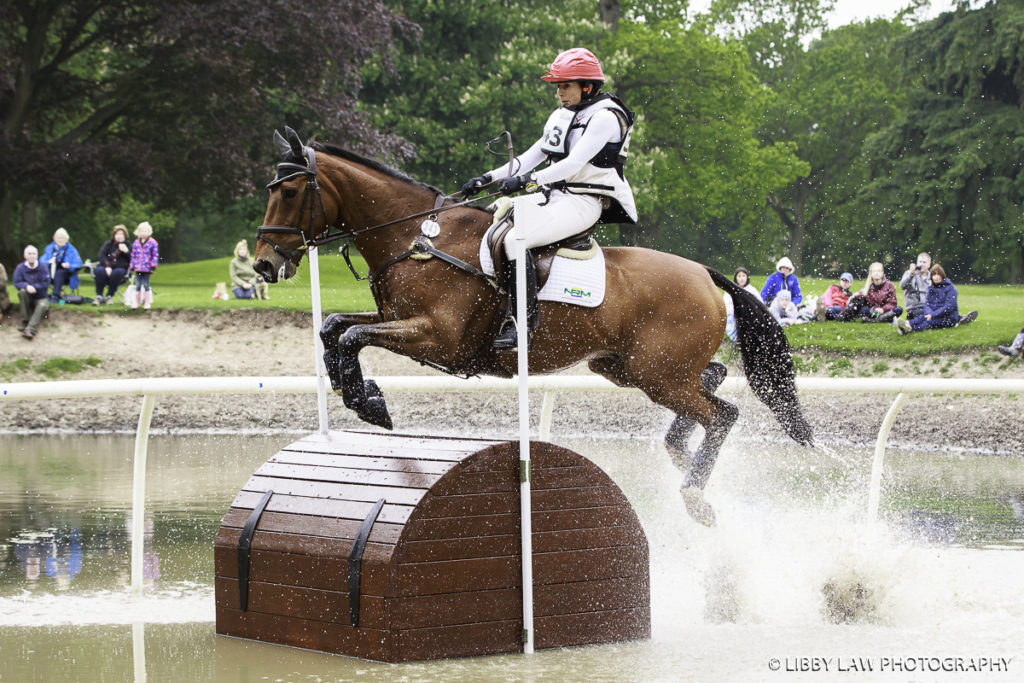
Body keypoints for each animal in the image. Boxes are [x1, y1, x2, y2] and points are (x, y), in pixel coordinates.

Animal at [251, 127, 811, 524]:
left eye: (292, 191)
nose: (263, 264)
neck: (417, 236)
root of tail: (704, 272)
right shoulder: (396, 320)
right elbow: (334, 327)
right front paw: (360, 392)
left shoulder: (437, 337)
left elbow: (349, 335)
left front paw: (369, 402)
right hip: (630, 368)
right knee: (713, 381)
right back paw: (680, 454)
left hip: (658, 373)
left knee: (723, 412)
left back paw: (695, 493)